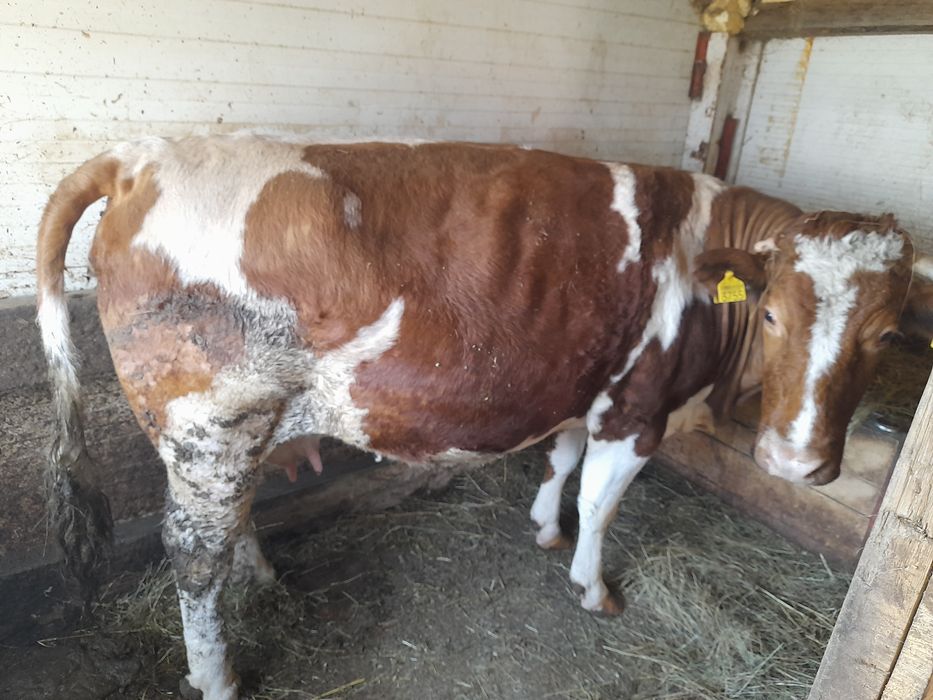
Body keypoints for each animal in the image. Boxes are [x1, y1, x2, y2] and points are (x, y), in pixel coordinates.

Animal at [35, 136, 926, 700]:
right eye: (772, 314)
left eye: (885, 335)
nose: (795, 464)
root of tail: (138, 154)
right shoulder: (637, 409)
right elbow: (601, 502)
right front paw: (591, 585)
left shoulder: (582, 384)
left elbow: (560, 465)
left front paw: (544, 528)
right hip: (212, 424)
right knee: (193, 554)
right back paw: (217, 676)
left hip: (231, 435)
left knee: (231, 525)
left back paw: (261, 580)